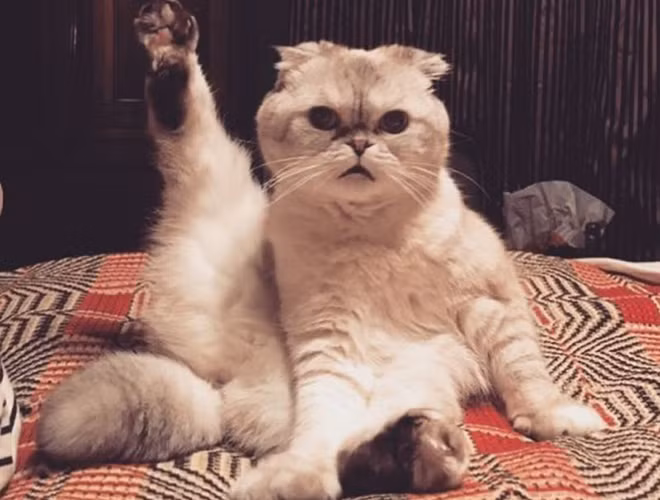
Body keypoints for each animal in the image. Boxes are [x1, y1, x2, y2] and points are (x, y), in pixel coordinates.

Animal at [37, 1, 606, 499]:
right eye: (324, 119)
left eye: (394, 123)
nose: (358, 145)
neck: (371, 235)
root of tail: (223, 388)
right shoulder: (329, 334)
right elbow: (324, 420)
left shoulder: (490, 304)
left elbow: (525, 373)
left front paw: (553, 420)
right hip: (215, 188)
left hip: (416, 378)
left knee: (359, 455)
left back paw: (412, 449)